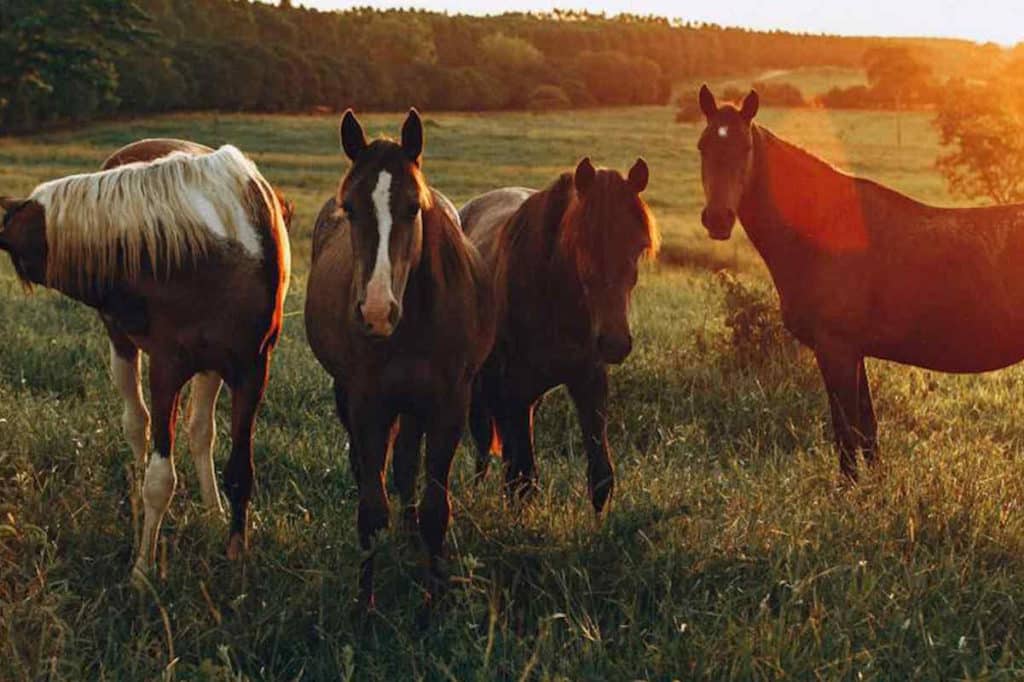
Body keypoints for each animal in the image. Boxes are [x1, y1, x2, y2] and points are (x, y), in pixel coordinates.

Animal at [0, 139, 291, 583]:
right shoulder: (165, 369)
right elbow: (159, 478)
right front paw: (142, 569)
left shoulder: (252, 369)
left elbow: (241, 471)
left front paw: (236, 557)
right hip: (123, 346)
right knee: (137, 424)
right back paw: (139, 508)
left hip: (212, 367)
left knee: (200, 431)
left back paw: (211, 511)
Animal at [305, 109, 494, 609]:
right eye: (350, 208)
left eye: (413, 207)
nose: (375, 312)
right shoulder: (368, 404)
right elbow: (371, 510)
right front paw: (365, 606)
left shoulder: (448, 406)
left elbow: (434, 508)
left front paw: (433, 600)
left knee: (408, 465)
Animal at [460, 157, 658, 512]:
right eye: (583, 242)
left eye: (640, 246)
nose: (615, 342)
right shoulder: (515, 388)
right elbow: (524, 478)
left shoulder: (588, 382)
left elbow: (601, 476)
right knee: (485, 445)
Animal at [697, 83, 1024, 480]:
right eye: (702, 146)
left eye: (745, 148)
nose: (717, 219)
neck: (826, 229)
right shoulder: (856, 352)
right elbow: (867, 430)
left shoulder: (835, 350)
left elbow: (846, 432)